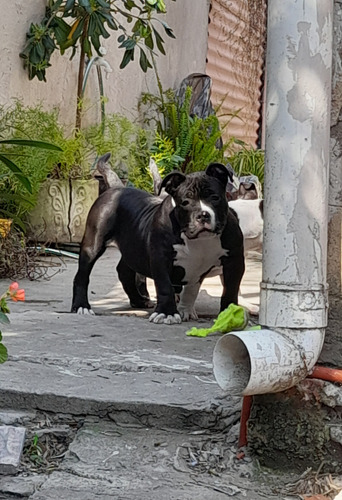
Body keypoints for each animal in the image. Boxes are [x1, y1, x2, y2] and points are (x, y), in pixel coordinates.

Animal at [71, 154, 244, 322]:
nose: (203, 215)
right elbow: (165, 286)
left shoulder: (234, 261)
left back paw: (139, 300)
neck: (198, 240)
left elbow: (228, 289)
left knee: (125, 270)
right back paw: (81, 306)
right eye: (185, 202)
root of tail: (116, 188)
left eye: (215, 198)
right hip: (93, 244)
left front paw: (228, 312)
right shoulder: (161, 258)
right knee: (82, 276)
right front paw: (167, 313)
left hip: (133, 246)